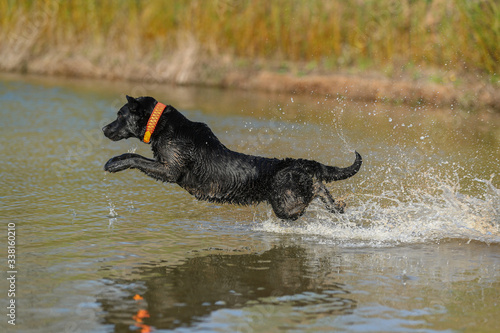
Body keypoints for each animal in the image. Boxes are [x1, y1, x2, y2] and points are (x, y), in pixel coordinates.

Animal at [102, 95, 360, 220]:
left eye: (120, 115)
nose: (104, 129)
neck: (162, 126)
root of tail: (303, 163)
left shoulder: (170, 169)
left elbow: (136, 158)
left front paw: (114, 163)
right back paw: (337, 204)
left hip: (285, 205)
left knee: (312, 194)